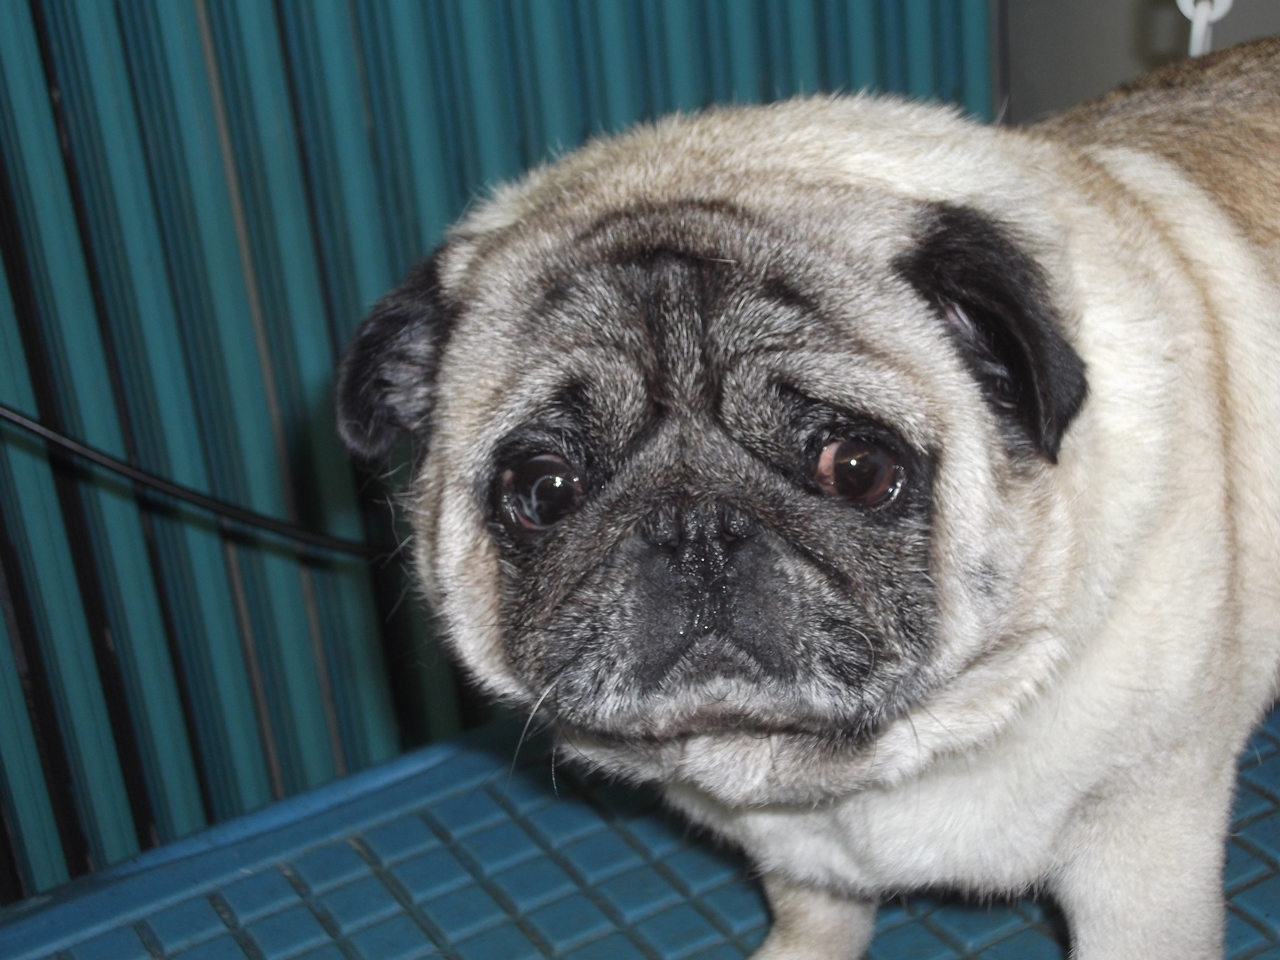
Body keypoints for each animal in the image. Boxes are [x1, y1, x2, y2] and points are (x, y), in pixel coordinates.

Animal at [336, 39, 1280, 959]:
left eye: (856, 469)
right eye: (545, 490)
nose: (694, 528)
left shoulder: (1143, 851)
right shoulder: (801, 858)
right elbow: (818, 911)